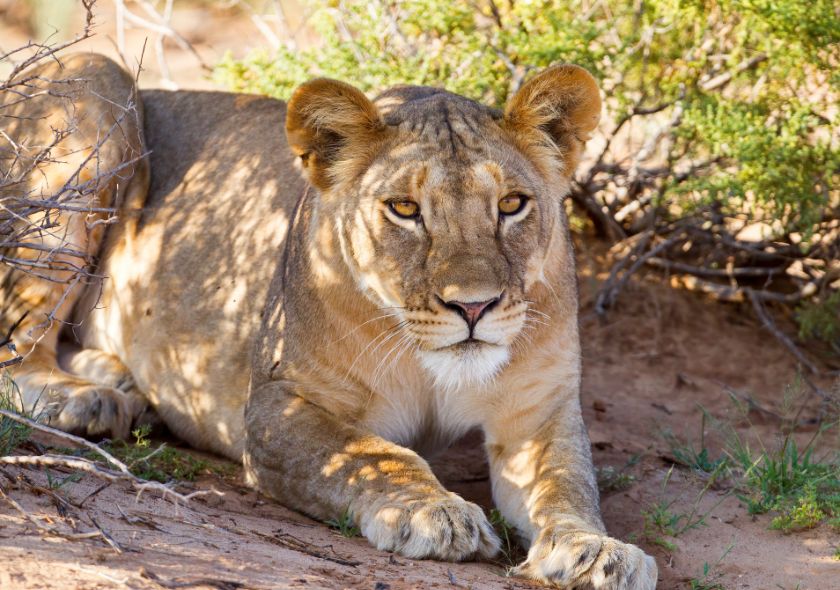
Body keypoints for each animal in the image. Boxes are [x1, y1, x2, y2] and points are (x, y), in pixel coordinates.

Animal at [3, 53, 657, 588]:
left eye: (512, 205)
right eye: (404, 209)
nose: (474, 307)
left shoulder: (539, 413)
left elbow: (567, 484)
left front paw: (595, 550)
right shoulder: (277, 406)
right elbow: (374, 454)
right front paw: (434, 512)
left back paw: (116, 377)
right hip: (96, 89)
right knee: (17, 340)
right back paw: (85, 398)